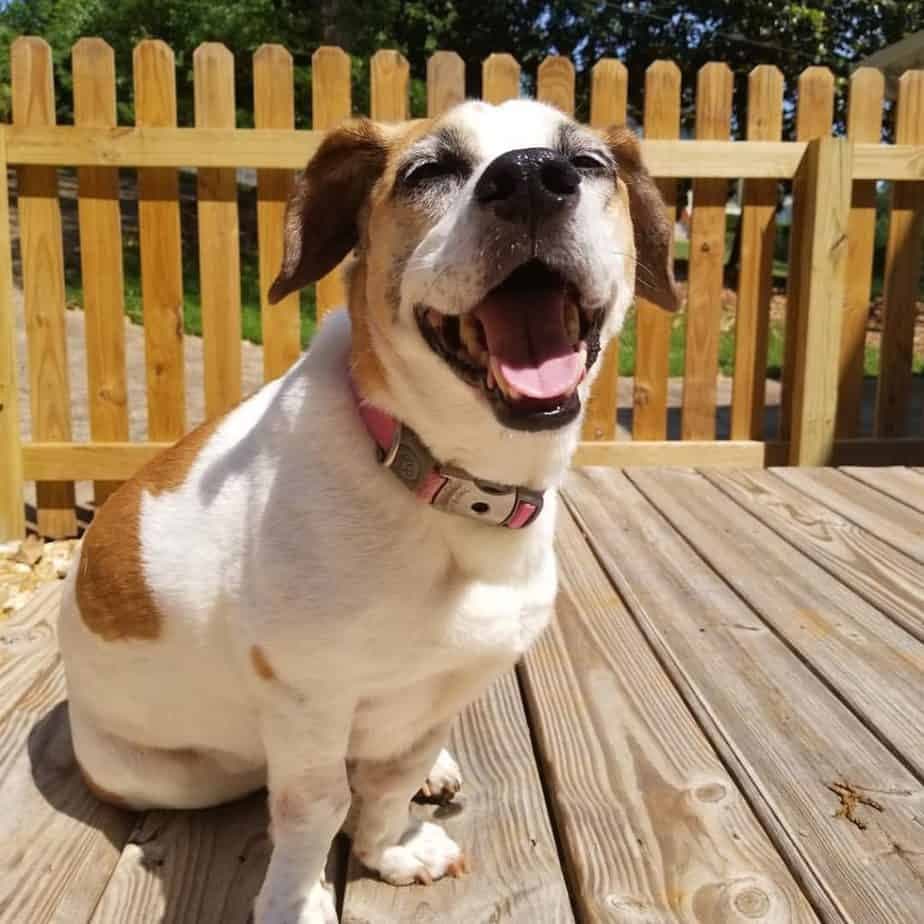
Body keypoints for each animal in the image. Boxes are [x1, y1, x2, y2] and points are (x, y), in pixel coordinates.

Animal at [59, 97, 680, 920]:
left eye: (586, 162)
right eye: (428, 171)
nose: (530, 178)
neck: (448, 490)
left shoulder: (446, 685)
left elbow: (387, 781)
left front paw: (388, 848)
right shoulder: (307, 697)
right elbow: (315, 806)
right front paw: (298, 900)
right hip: (170, 773)